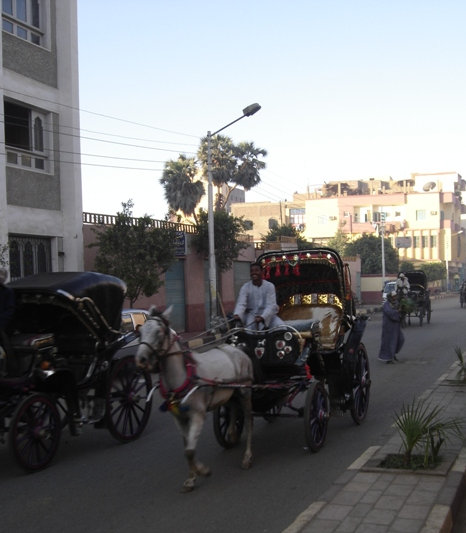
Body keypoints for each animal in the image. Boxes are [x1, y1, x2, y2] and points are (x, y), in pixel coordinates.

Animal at [135, 306, 253, 492]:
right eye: (140, 332)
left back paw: (247, 457)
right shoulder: (179, 418)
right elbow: (187, 448)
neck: (183, 377)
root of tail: (238, 349)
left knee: (249, 420)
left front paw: (203, 470)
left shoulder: (197, 415)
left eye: (159, 332)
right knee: (233, 409)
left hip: (245, 392)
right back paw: (232, 434)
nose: (141, 359)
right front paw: (191, 478)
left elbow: (189, 451)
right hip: (231, 392)